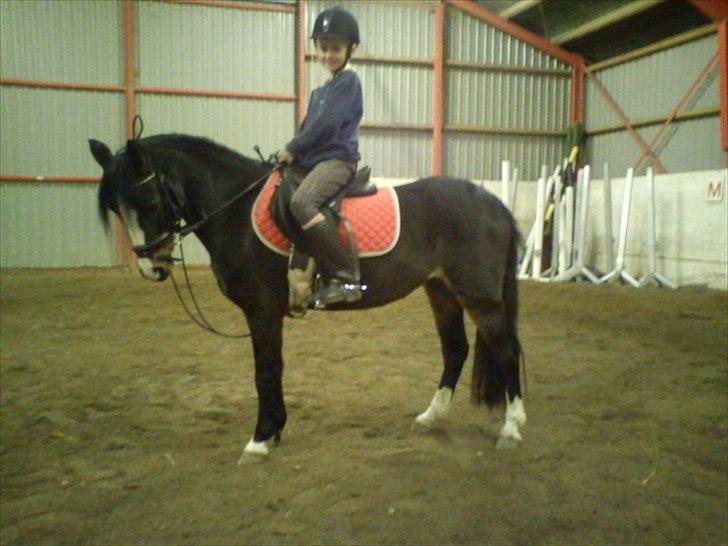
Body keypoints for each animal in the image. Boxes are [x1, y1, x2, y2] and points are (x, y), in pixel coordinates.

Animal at [88, 134, 526, 459]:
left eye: (149, 200)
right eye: (115, 206)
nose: (152, 267)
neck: (237, 212)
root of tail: (493, 204)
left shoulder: (262, 312)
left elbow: (265, 371)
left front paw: (260, 439)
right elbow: (274, 370)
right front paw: (274, 430)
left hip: (480, 297)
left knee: (506, 350)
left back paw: (512, 428)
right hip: (442, 292)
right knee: (455, 350)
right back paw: (431, 417)